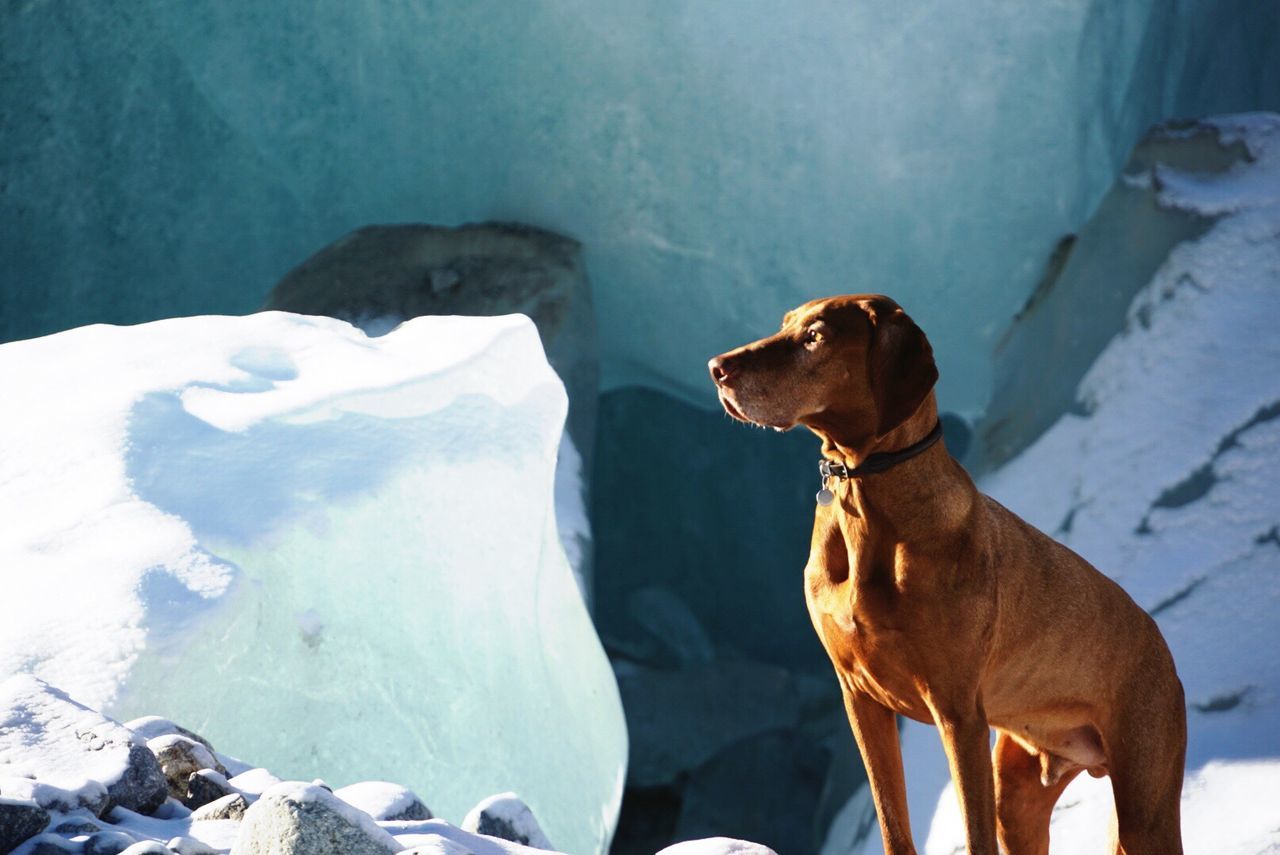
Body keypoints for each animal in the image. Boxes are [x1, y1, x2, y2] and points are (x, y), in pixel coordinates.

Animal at [706, 295, 1182, 855]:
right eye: (784, 325)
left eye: (815, 337)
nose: (716, 368)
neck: (869, 501)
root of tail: (1160, 641)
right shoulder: (859, 697)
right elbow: (892, 821)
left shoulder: (957, 715)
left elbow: (973, 834)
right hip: (1018, 793)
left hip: (1144, 804)